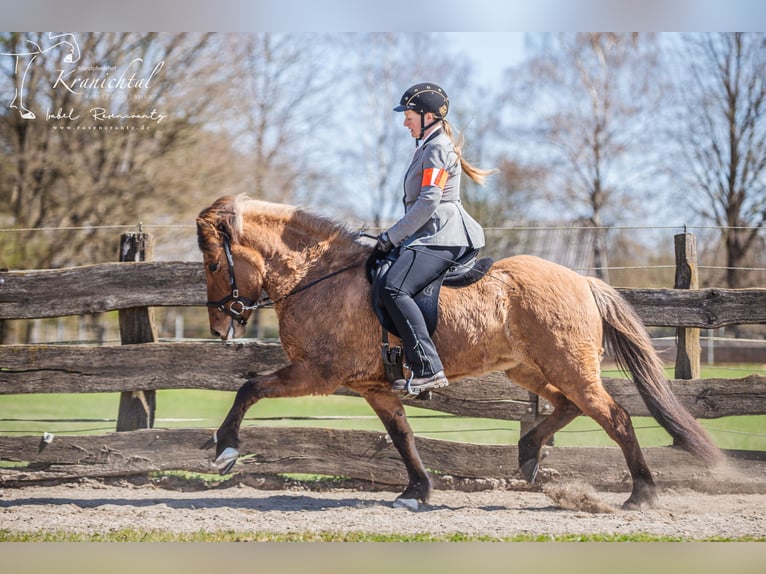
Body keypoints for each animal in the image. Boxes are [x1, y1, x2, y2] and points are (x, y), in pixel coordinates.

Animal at [198, 195, 728, 512]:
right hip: (527, 370)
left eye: (212, 263)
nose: (220, 325)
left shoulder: (318, 372)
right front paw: (417, 492)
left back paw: (641, 494)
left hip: (570, 367)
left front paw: (225, 448)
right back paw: (528, 454)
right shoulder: (374, 387)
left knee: (614, 416)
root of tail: (582, 280)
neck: (319, 276)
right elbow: (403, 437)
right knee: (565, 405)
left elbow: (249, 387)